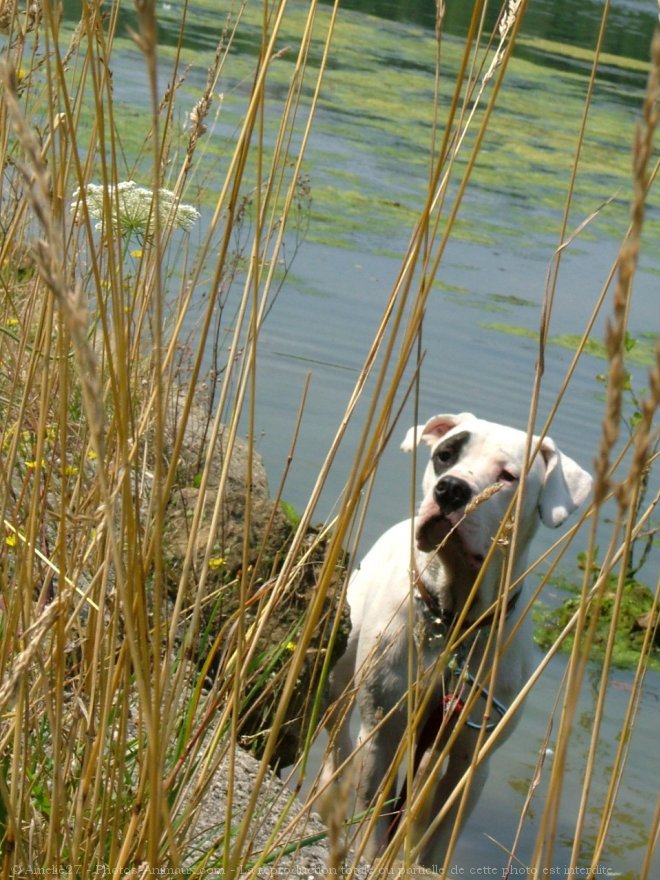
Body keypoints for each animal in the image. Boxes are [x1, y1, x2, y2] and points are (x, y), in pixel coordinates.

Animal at [324, 410, 592, 868]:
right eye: (444, 455)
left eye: (508, 476)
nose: (450, 489)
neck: (454, 620)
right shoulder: (382, 731)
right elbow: (373, 811)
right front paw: (369, 855)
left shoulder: (471, 760)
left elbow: (440, 834)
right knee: (336, 731)